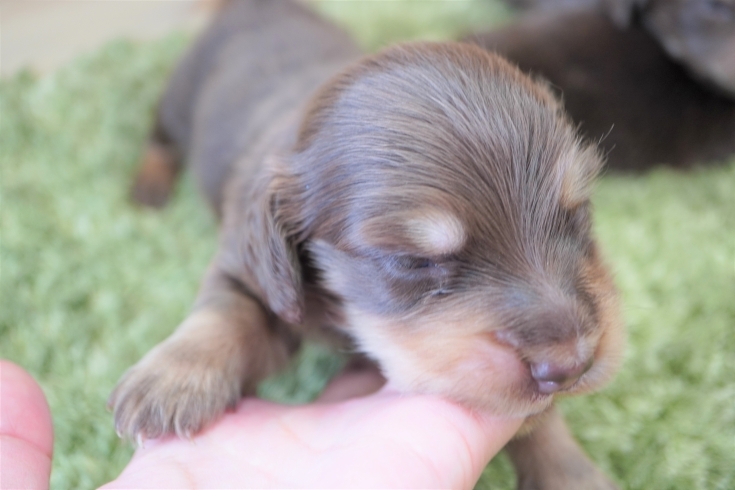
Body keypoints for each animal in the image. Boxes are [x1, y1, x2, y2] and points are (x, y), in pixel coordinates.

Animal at [113, 1, 628, 488]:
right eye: (413, 261)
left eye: (578, 213)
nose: (572, 365)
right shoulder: (248, 266)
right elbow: (225, 313)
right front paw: (174, 376)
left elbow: (539, 421)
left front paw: (569, 471)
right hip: (179, 95)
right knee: (158, 137)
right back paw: (148, 187)